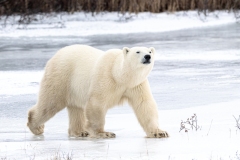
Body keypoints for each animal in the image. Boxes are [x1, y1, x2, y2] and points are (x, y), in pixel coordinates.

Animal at [26, 44, 169, 138]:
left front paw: (159, 132)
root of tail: (55, 55)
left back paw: (80, 132)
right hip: (61, 77)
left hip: (73, 88)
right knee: (49, 104)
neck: (120, 76)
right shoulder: (105, 78)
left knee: (75, 109)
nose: (147, 56)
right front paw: (104, 133)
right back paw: (36, 127)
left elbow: (144, 105)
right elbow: (97, 103)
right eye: (137, 52)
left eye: (150, 51)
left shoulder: (136, 85)